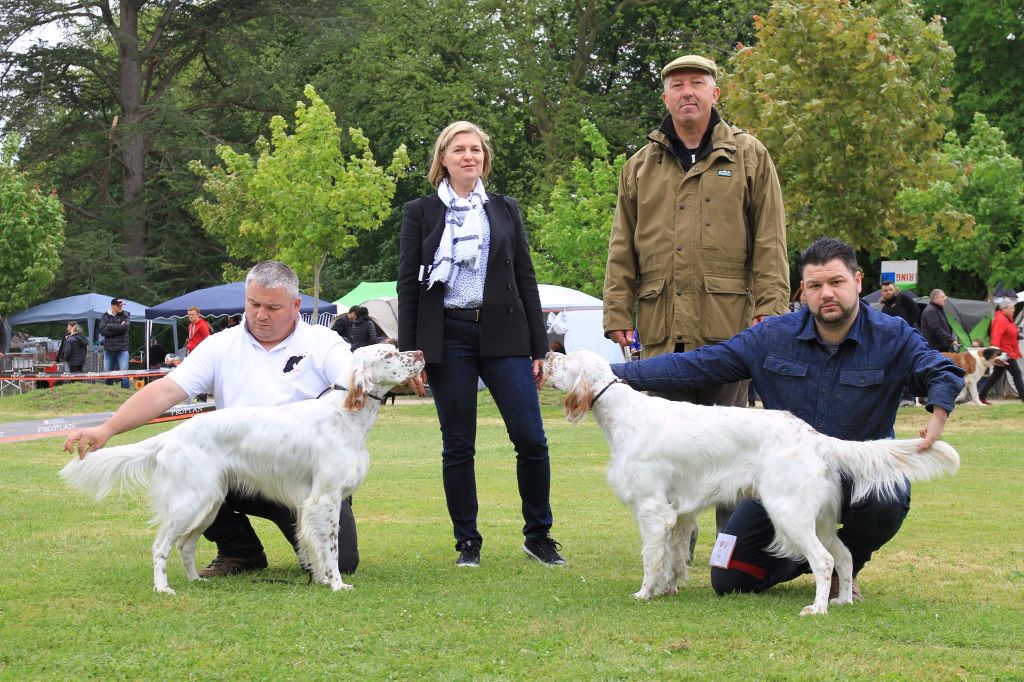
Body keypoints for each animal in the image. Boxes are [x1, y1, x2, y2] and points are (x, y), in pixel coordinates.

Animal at [60, 342, 423, 593]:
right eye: (389, 354)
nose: (420, 352)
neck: (345, 414)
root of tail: (174, 434)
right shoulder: (325, 498)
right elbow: (331, 548)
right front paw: (336, 584)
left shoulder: (310, 504)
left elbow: (314, 546)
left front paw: (320, 580)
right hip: (193, 500)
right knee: (161, 545)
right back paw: (163, 588)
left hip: (210, 501)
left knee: (185, 545)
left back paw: (196, 580)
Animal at [544, 352, 958, 614]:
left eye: (565, 359)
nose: (546, 355)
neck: (623, 412)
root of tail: (814, 437)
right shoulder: (679, 513)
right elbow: (674, 556)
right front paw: (670, 588)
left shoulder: (652, 509)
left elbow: (652, 557)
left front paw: (646, 593)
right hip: (820, 519)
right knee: (843, 555)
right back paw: (841, 601)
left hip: (789, 513)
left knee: (823, 560)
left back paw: (818, 608)